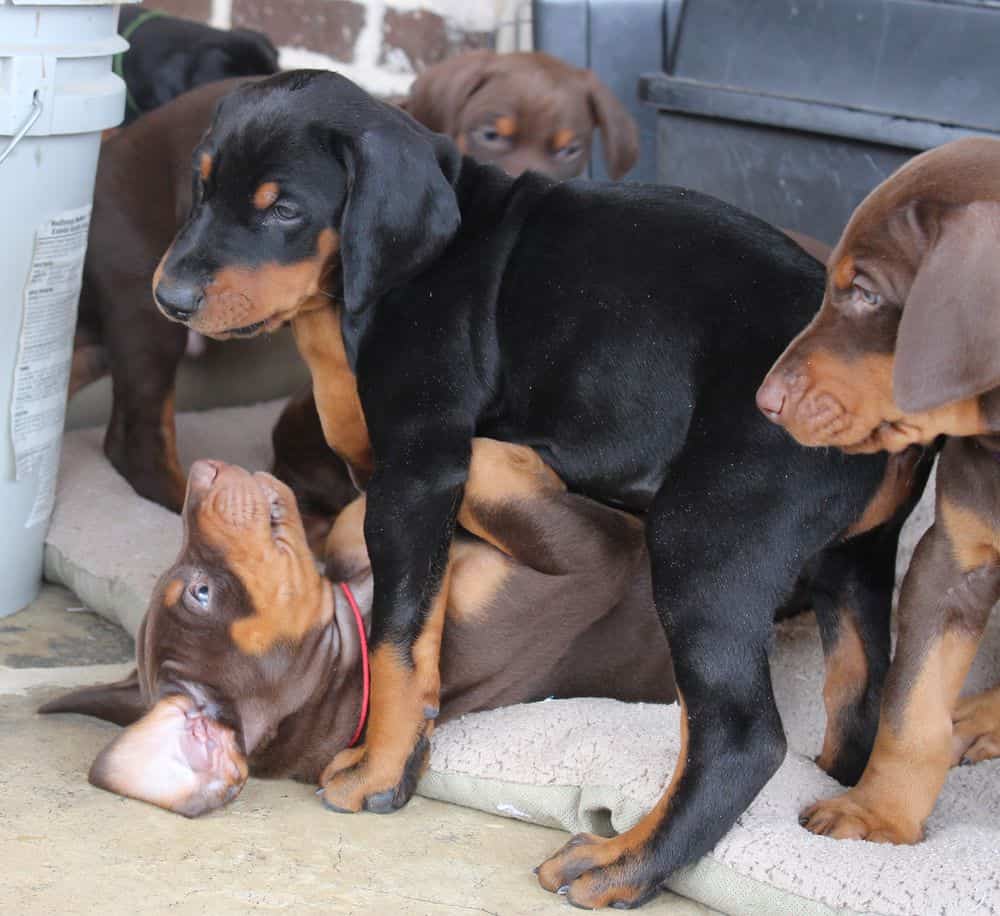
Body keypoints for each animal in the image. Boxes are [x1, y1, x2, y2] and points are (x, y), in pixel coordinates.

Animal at [146, 68, 920, 904]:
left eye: (284, 209)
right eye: (200, 189)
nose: (170, 299)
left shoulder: (419, 468)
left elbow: (396, 635)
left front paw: (380, 773)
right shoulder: (408, 481)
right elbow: (417, 615)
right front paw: (405, 755)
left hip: (708, 540)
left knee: (742, 737)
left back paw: (622, 865)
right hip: (855, 561)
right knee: (858, 693)